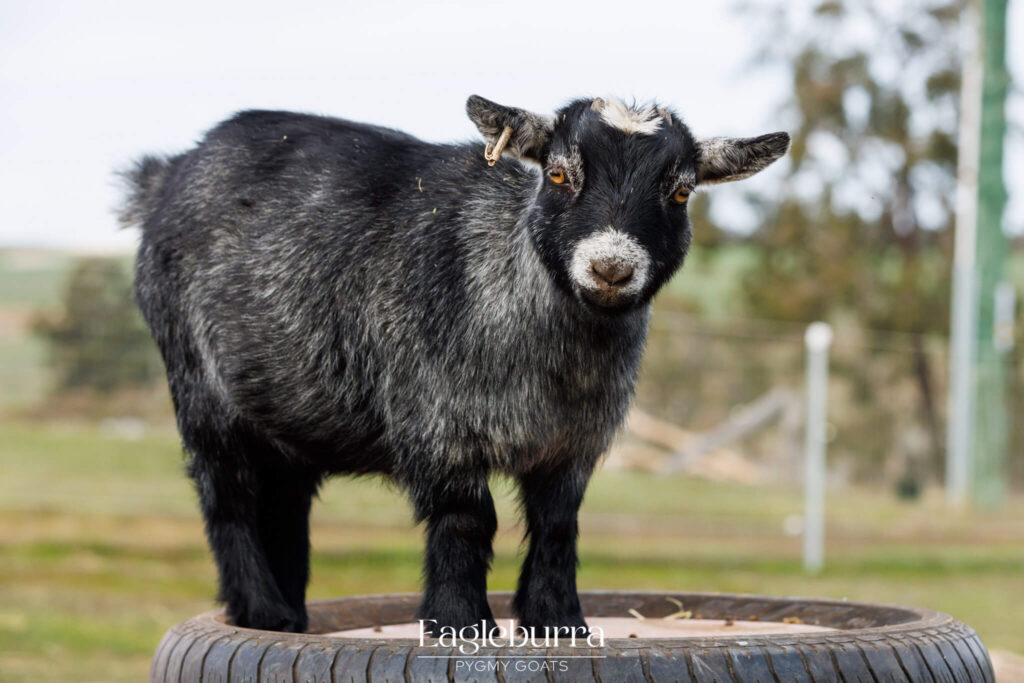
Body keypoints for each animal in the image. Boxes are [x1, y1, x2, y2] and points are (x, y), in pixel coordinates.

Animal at [122, 95, 788, 635]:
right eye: (557, 173)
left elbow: (557, 524)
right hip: (202, 388)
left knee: (284, 506)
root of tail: (164, 175)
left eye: (680, 191)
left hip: (288, 412)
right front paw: (459, 621)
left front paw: (557, 620)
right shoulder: (438, 424)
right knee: (227, 499)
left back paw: (293, 615)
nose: (610, 268)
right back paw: (263, 613)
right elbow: (468, 520)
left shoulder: (573, 441)